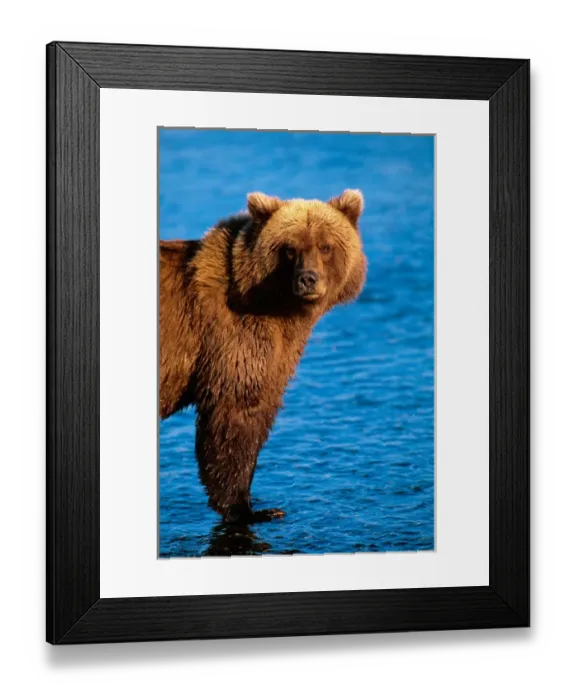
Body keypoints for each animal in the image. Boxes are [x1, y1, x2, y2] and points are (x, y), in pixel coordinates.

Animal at [160, 189, 367, 524]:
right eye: (290, 249)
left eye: (325, 246)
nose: (308, 279)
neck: (276, 307)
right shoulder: (233, 340)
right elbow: (235, 416)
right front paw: (251, 509)